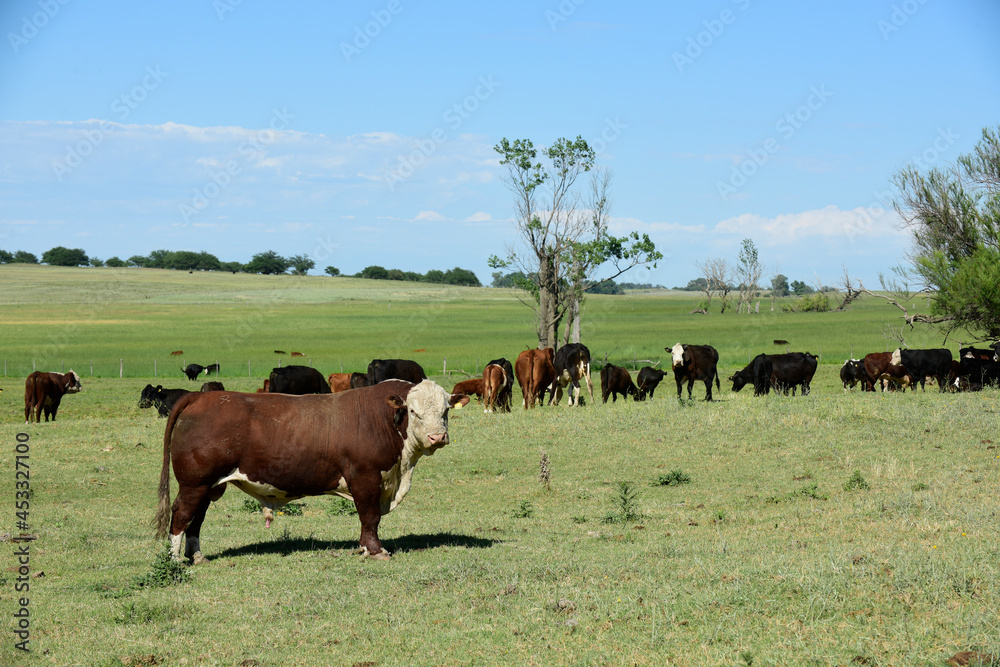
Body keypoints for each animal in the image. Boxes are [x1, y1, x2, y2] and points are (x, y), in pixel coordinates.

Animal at [155, 380, 468, 564]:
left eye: (446, 410)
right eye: (413, 411)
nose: (437, 437)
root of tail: (198, 398)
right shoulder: (365, 477)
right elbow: (370, 517)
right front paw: (375, 550)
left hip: (208, 485)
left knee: (196, 518)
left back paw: (197, 556)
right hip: (194, 482)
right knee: (182, 514)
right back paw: (174, 561)